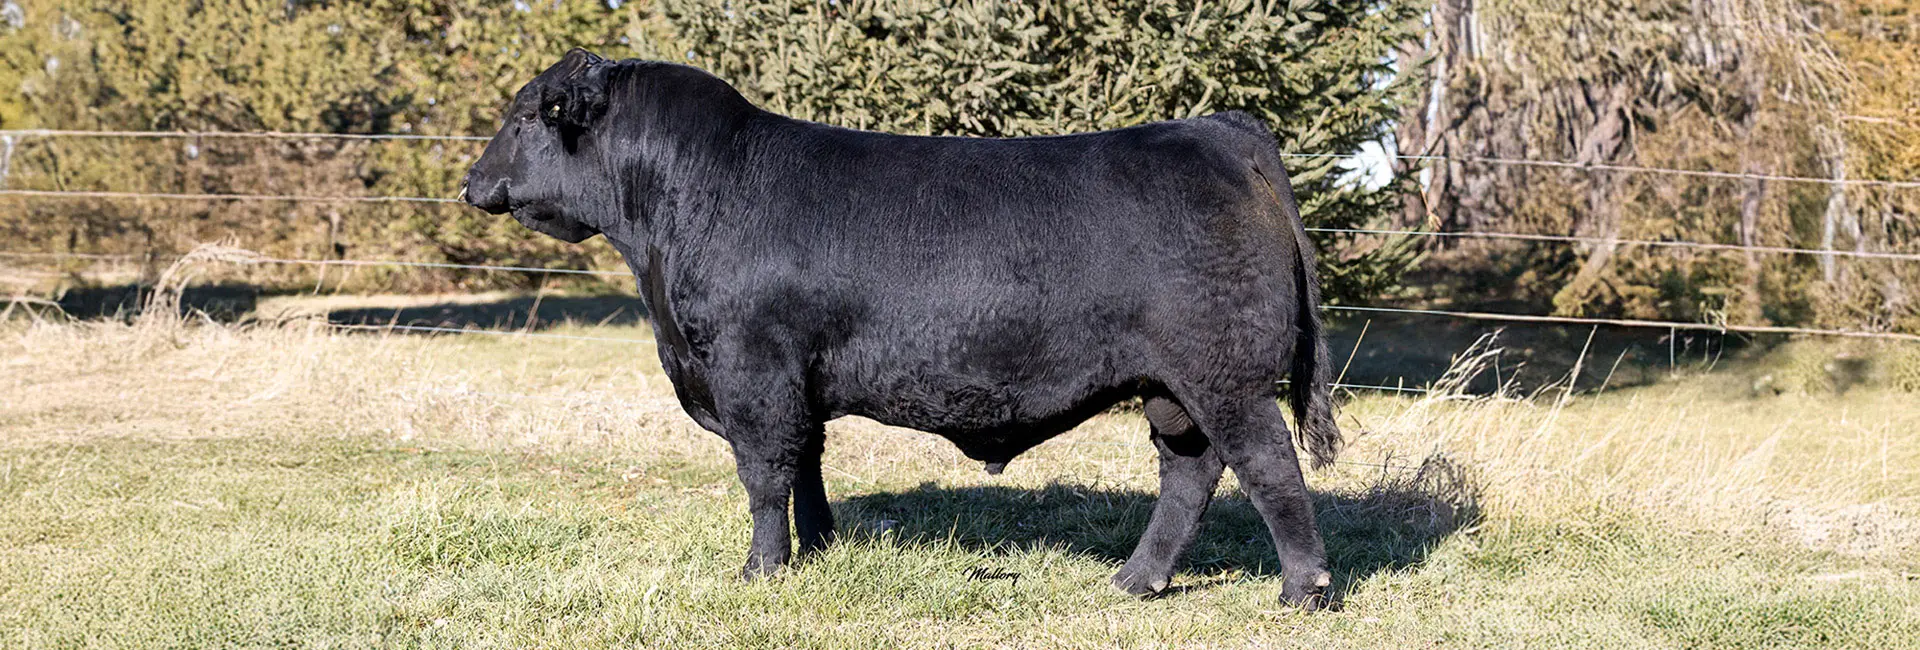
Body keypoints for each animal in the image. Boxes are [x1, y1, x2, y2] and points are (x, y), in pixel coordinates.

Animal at [462, 49, 1343, 610]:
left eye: (525, 118)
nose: (472, 183)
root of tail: (1215, 127)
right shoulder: (796, 378)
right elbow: (807, 466)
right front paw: (818, 550)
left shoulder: (752, 368)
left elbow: (765, 474)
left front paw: (761, 572)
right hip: (1171, 387)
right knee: (1190, 473)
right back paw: (1135, 582)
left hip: (1225, 376)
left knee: (1268, 467)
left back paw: (1303, 591)